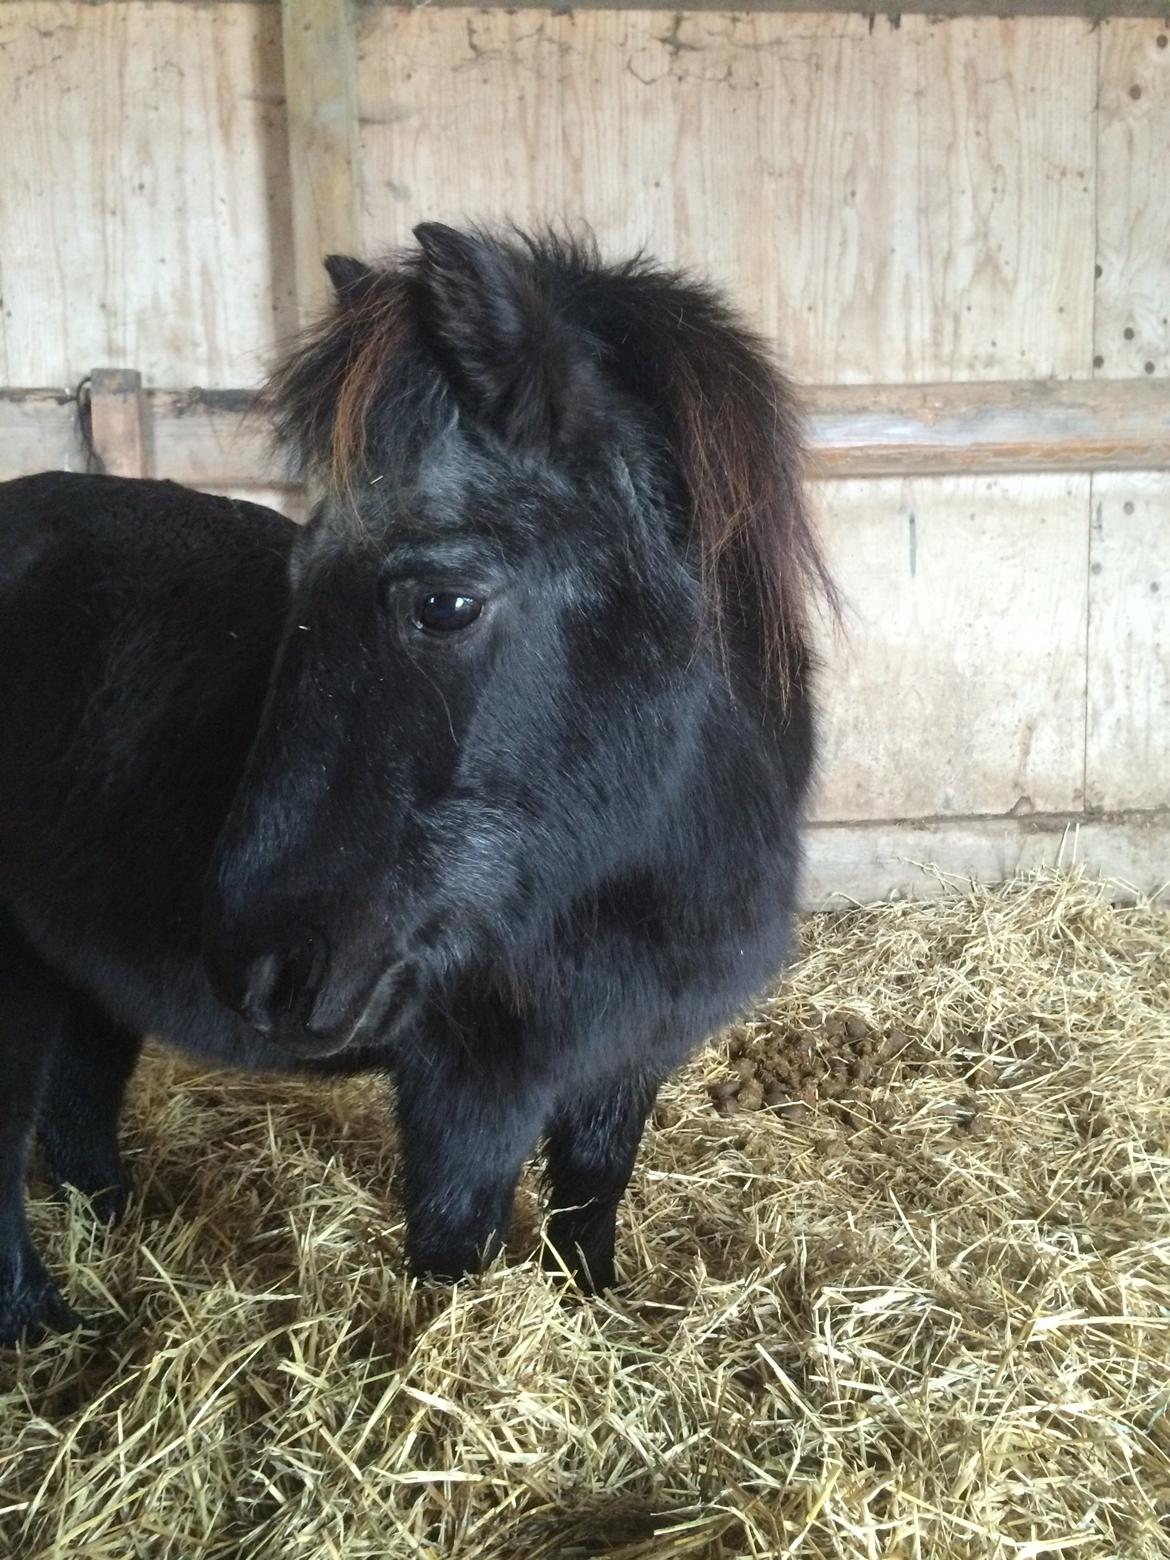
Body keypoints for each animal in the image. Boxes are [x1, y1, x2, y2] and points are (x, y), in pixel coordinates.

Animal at [0, 223, 836, 1341]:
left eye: (443, 604)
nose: (264, 969)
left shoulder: (623, 1062)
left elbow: (589, 1214)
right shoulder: (467, 1088)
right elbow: (456, 1251)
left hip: (76, 972)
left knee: (79, 1116)